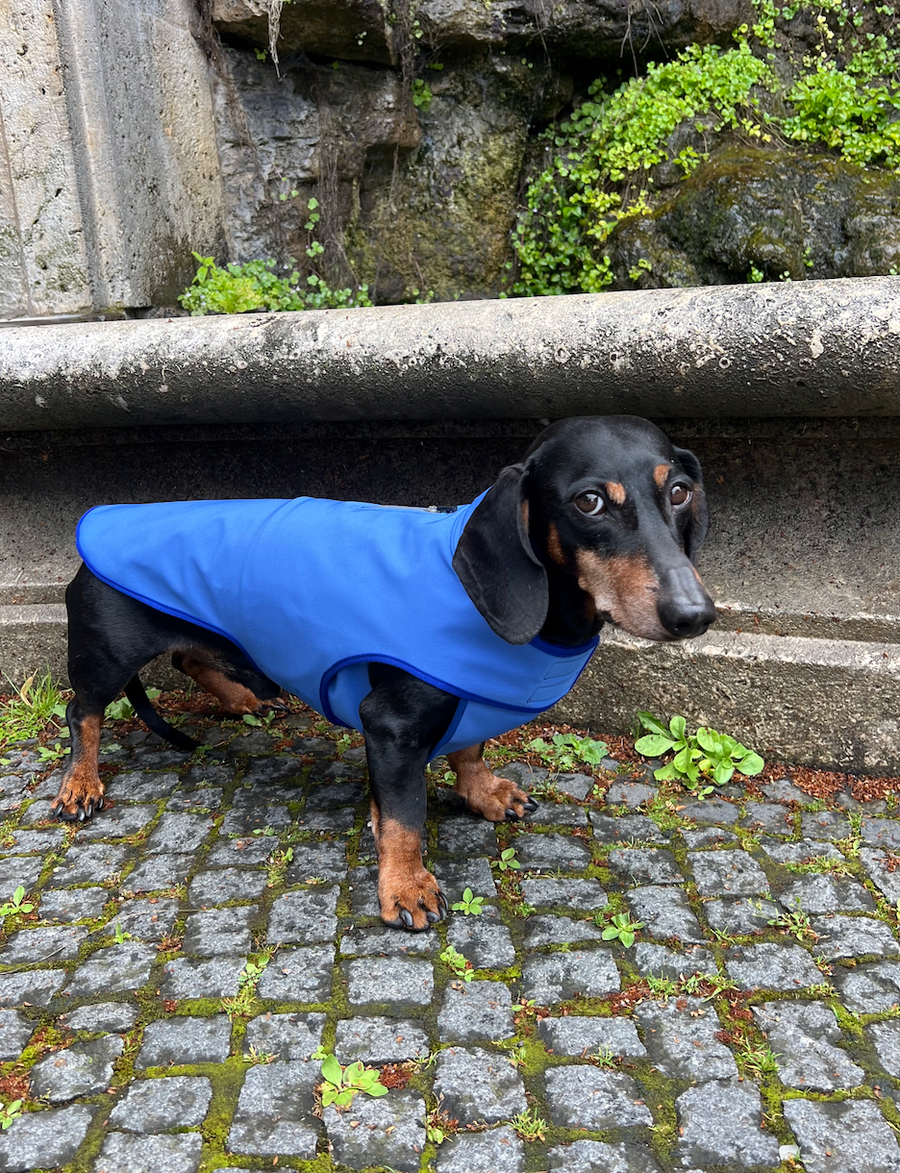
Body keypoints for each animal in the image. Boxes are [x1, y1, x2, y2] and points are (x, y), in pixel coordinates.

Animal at [54, 417, 718, 929]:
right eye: (589, 501)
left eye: (680, 491)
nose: (694, 614)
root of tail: (98, 521)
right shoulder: (391, 728)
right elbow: (402, 819)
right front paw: (405, 887)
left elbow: (469, 748)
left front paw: (482, 792)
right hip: (106, 656)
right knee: (83, 712)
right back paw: (80, 785)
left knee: (189, 656)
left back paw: (242, 698)